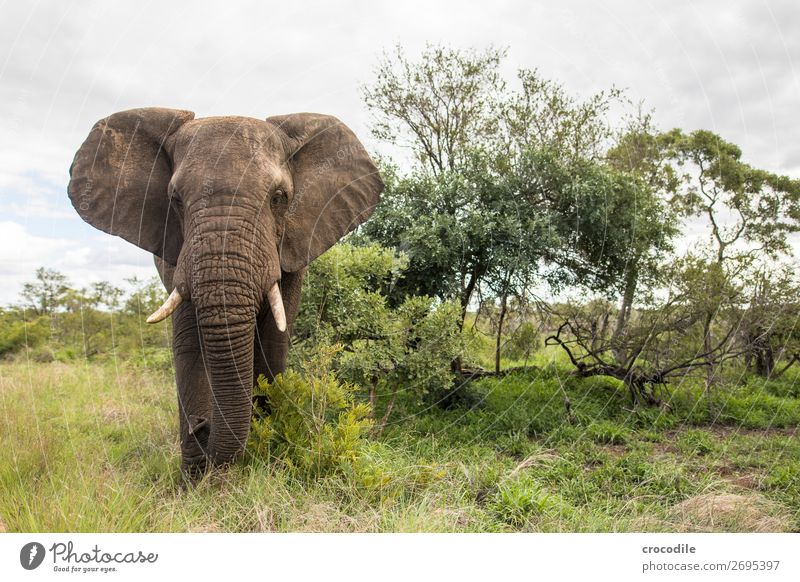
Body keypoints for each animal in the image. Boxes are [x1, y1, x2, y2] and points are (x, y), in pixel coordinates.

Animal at [67, 107, 382, 482]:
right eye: (175, 200)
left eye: (279, 198)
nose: (200, 425)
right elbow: (189, 343)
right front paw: (194, 482)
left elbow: (274, 342)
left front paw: (266, 450)